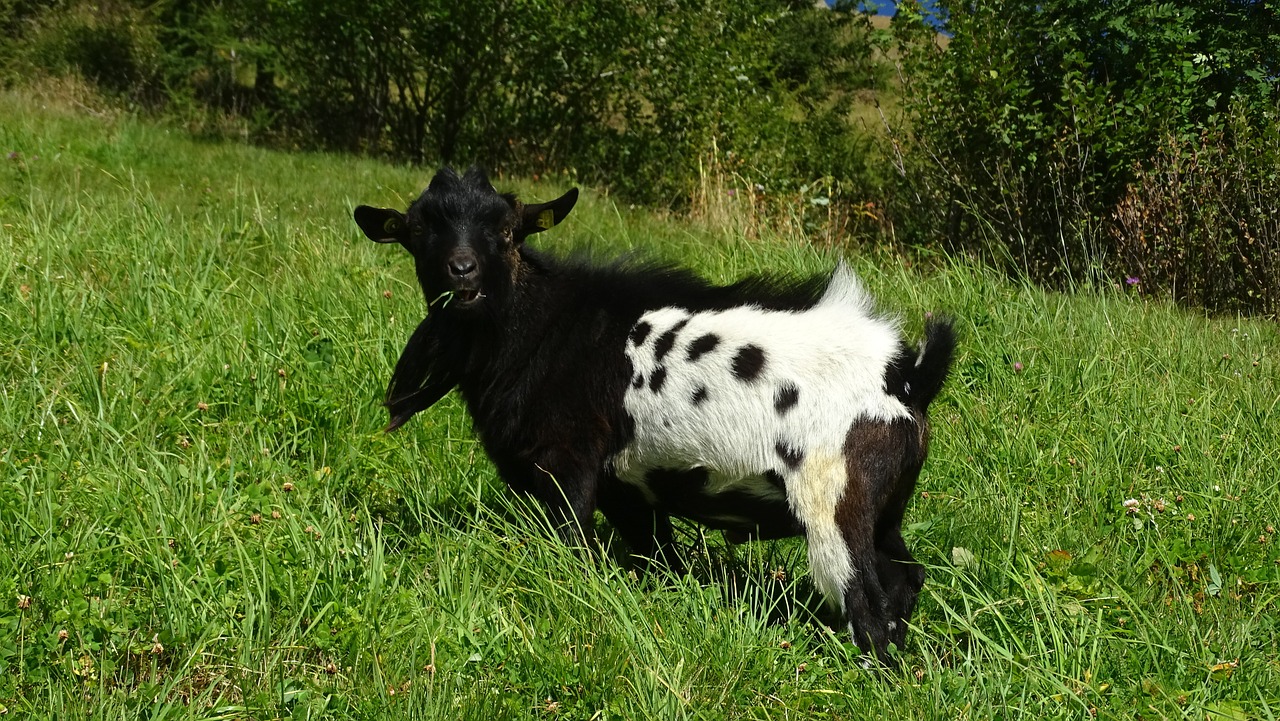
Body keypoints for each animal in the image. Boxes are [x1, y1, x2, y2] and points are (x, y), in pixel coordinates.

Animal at [355, 167, 957, 660]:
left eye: (507, 231)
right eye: (418, 231)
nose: (463, 273)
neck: (542, 328)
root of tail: (906, 376)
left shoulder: (568, 465)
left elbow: (572, 545)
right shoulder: (627, 486)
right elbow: (657, 558)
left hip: (833, 504)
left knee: (868, 604)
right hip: (885, 509)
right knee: (904, 580)